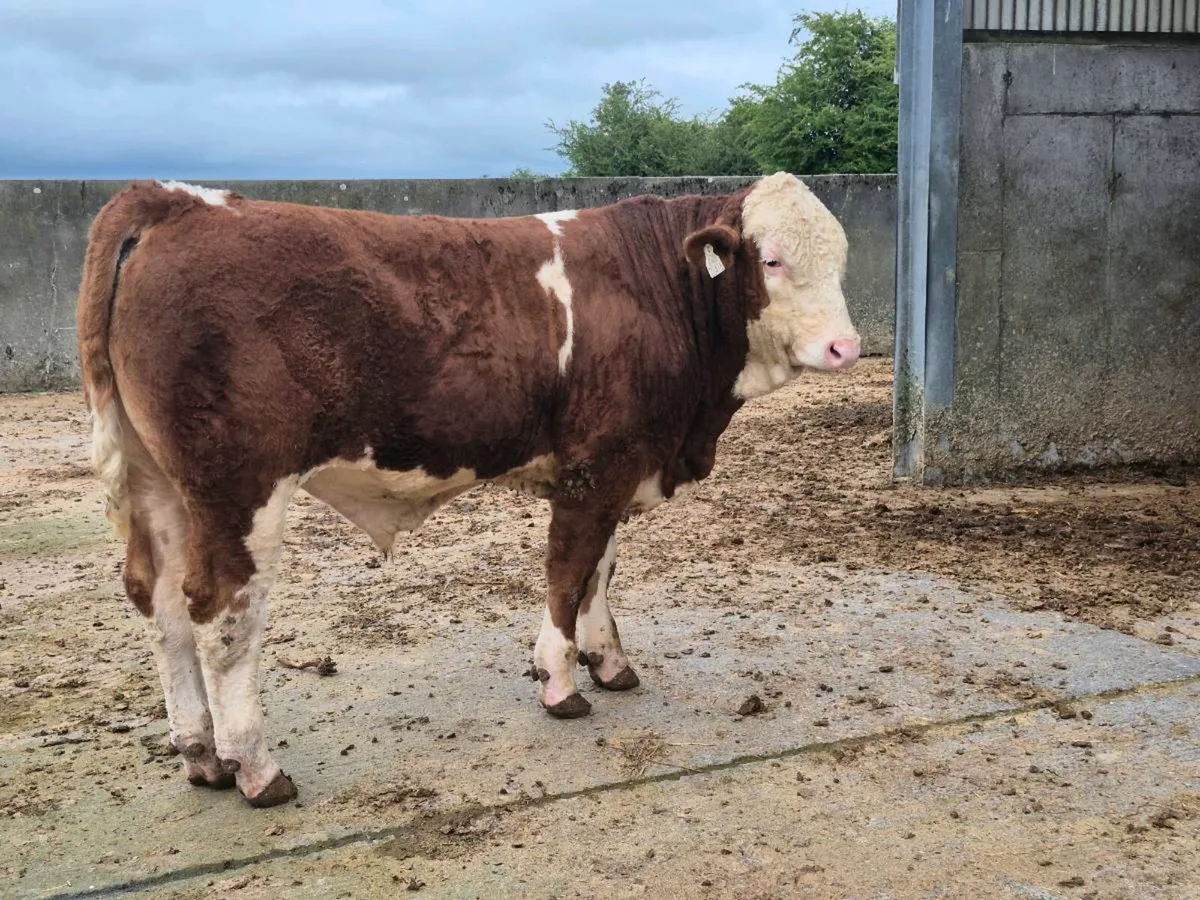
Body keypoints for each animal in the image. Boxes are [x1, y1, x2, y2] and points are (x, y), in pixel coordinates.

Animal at [76, 173, 860, 808]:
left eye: (842, 260)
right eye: (771, 258)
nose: (845, 348)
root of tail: (176, 200)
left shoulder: (618, 467)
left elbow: (600, 571)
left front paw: (608, 663)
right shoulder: (596, 467)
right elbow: (569, 571)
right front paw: (560, 683)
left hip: (158, 482)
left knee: (159, 602)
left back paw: (200, 755)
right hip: (238, 487)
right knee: (220, 615)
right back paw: (255, 769)